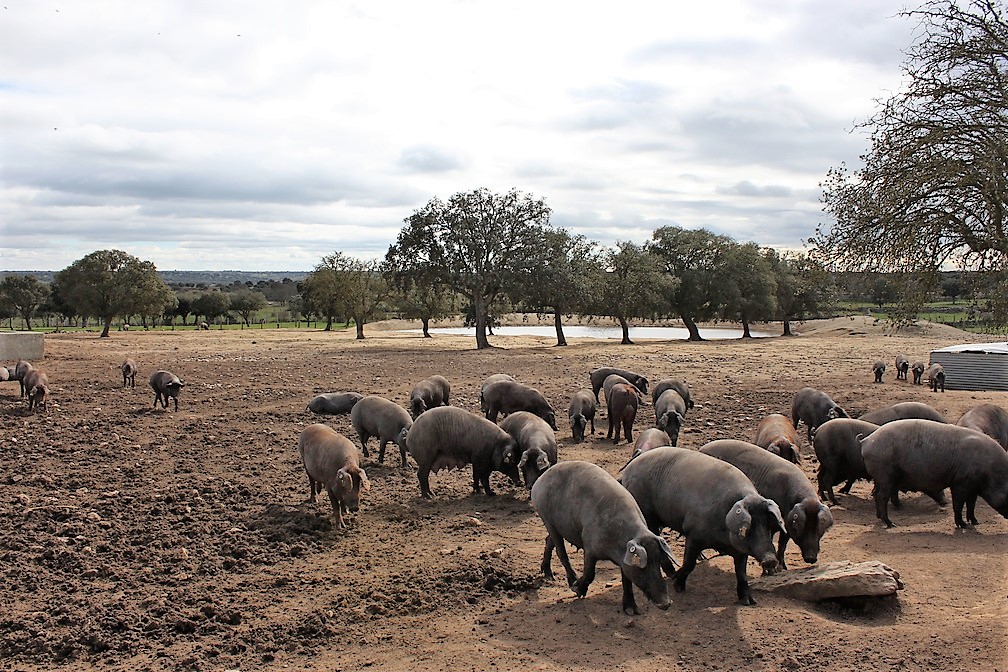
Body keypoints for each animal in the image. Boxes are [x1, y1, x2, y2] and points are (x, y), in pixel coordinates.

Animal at [528, 463, 677, 616]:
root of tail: (540, 480)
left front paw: (631, 610)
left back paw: (548, 574)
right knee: (561, 551)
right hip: (547, 519)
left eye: (658, 562)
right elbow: (590, 573)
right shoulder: (589, 547)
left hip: (558, 527)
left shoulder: (623, 560)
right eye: (642, 567)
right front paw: (577, 590)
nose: (666, 603)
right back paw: (571, 581)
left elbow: (626, 579)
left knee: (548, 541)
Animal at [616, 447, 782, 604]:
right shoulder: (694, 533)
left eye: (767, 525)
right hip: (647, 514)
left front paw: (748, 601)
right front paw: (678, 587)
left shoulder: (740, 549)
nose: (771, 559)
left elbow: (741, 572)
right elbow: (689, 563)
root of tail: (630, 467)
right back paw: (672, 574)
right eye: (749, 527)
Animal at [701, 439, 834, 572]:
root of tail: (702, 448)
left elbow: (782, 544)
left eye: (819, 528)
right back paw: (703, 558)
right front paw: (771, 571)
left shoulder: (785, 528)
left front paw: (783, 568)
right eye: (800, 527)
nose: (811, 558)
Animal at [858, 417, 1008, 527]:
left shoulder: (973, 488)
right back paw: (891, 524)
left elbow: (971, 505)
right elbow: (958, 505)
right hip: (885, 476)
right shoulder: (960, 483)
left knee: (877, 494)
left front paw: (976, 523)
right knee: (881, 497)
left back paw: (881, 518)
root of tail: (866, 441)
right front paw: (963, 525)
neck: (991, 471)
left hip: (881, 478)